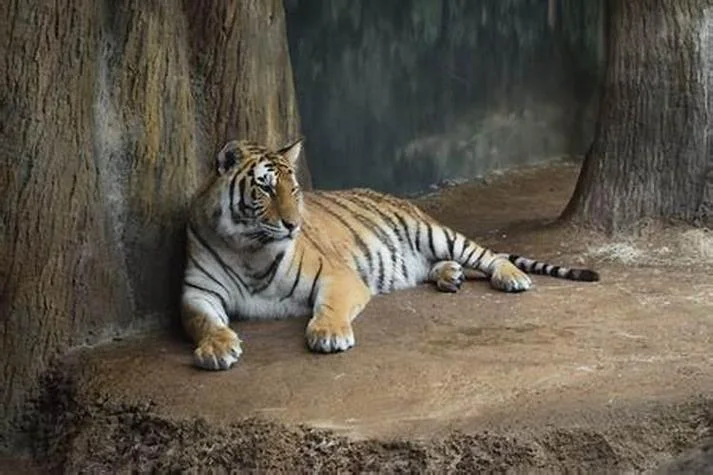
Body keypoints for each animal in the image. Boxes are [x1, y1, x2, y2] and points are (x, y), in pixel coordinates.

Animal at [181, 138, 600, 370]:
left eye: (293, 188)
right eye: (266, 188)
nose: (293, 225)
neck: (247, 248)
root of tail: (393, 196)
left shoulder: (338, 276)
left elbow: (329, 305)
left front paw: (329, 334)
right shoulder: (196, 292)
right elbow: (203, 320)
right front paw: (218, 348)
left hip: (437, 234)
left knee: (489, 255)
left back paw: (512, 277)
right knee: (429, 267)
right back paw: (450, 276)